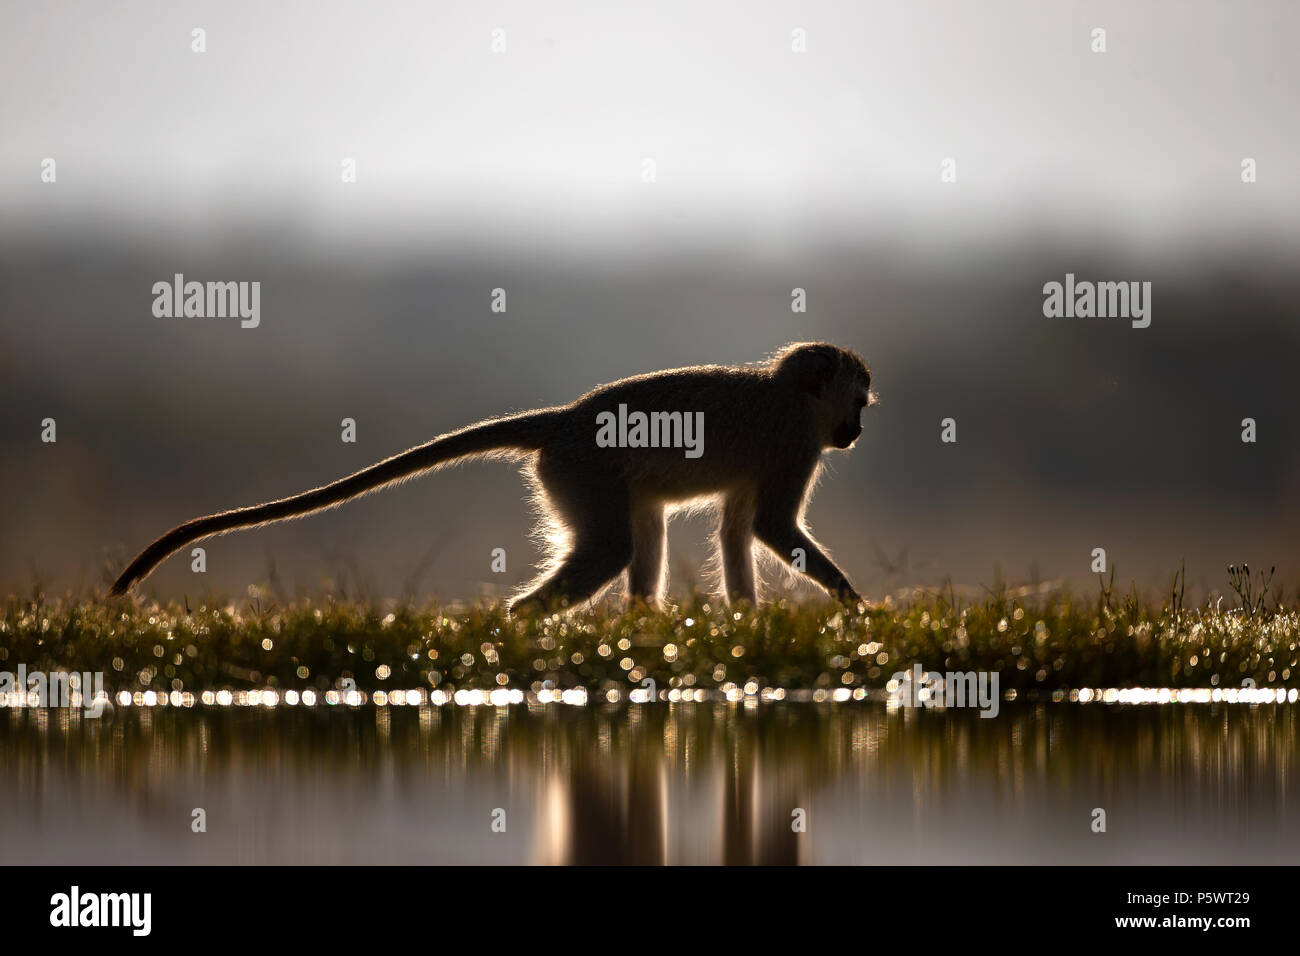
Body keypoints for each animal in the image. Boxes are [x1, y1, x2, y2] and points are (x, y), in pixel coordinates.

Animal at [114, 343, 873, 613]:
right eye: (860, 401)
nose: (857, 432)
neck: (792, 393)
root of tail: (567, 420)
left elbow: (739, 531)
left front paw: (746, 623)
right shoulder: (795, 442)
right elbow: (770, 525)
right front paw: (854, 606)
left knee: (641, 531)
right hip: (580, 471)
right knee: (612, 548)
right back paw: (519, 626)